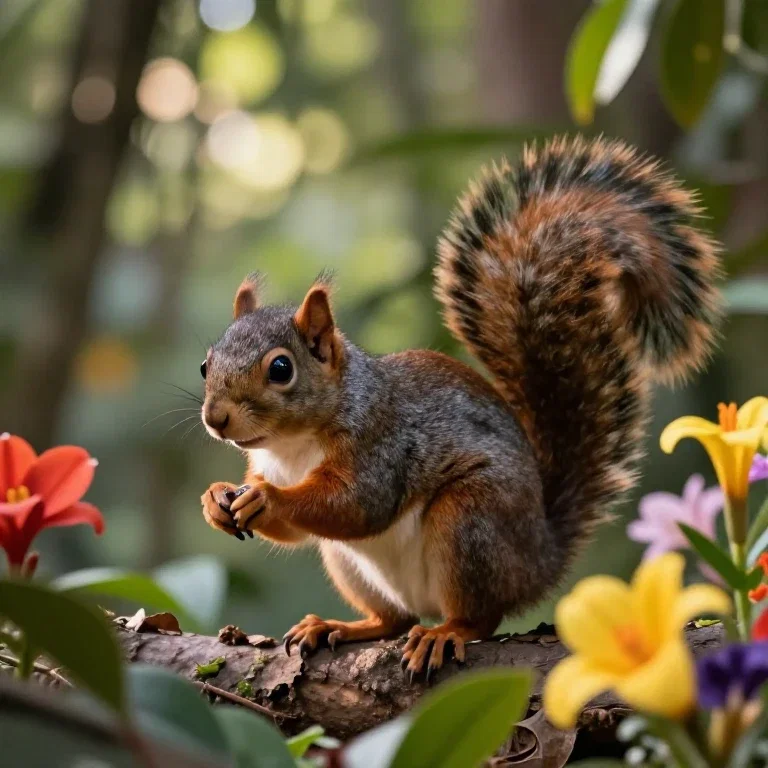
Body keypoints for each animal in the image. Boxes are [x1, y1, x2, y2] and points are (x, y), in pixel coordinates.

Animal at [199, 135, 722, 678]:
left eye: (281, 369)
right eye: (205, 364)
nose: (215, 419)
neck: (292, 446)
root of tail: (541, 557)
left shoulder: (380, 446)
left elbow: (354, 506)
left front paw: (267, 499)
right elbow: (297, 530)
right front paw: (216, 498)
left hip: (471, 522)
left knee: (479, 618)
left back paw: (444, 633)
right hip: (350, 564)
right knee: (393, 618)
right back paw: (339, 626)